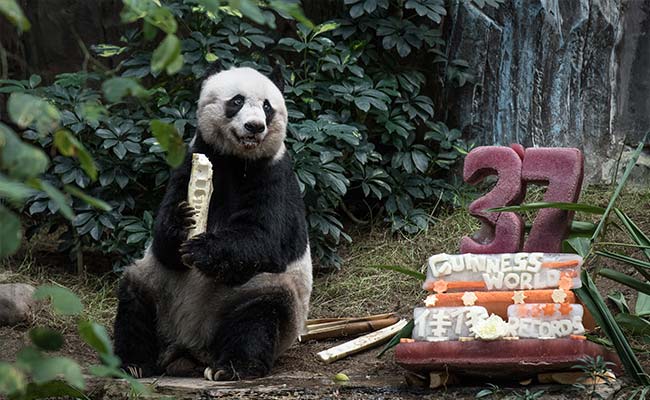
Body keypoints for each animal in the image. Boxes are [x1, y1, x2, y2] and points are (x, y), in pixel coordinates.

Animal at [113, 64, 312, 380]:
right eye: (237, 101)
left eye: (267, 107)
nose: (255, 127)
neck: (236, 160)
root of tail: (190, 348)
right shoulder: (190, 161)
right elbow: (163, 243)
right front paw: (183, 223)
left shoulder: (274, 174)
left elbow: (264, 238)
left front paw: (201, 249)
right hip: (157, 287)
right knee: (135, 300)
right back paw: (133, 363)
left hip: (254, 295)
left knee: (258, 314)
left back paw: (233, 367)